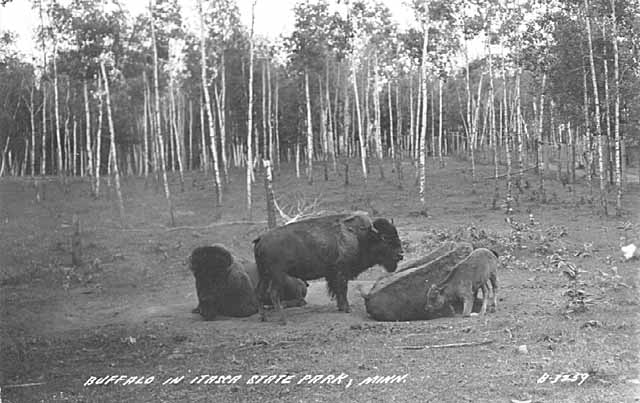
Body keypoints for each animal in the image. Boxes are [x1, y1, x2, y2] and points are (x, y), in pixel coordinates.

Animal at [252, 215, 402, 326]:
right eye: (387, 240)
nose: (401, 254)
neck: (361, 237)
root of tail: (260, 239)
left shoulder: (333, 274)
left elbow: (337, 291)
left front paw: (341, 307)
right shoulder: (341, 272)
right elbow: (342, 290)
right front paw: (347, 309)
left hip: (264, 275)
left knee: (259, 293)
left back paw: (264, 318)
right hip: (278, 275)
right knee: (273, 294)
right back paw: (284, 320)